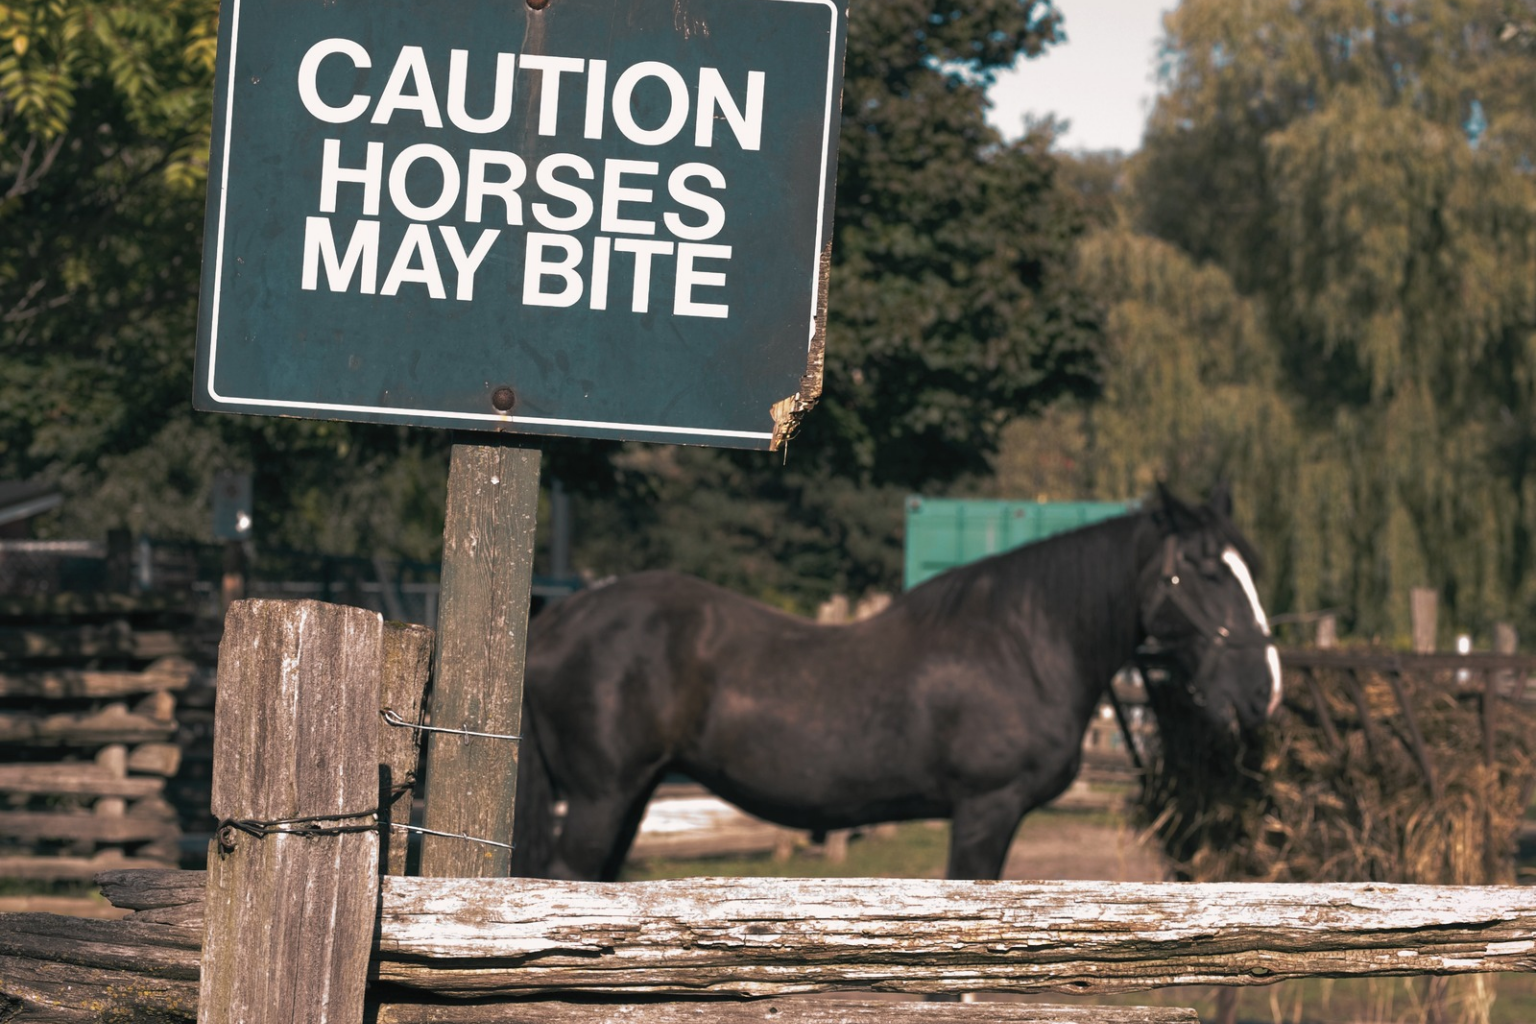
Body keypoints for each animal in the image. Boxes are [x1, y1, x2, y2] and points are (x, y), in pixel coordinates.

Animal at [509, 485, 1282, 881]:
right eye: (1207, 571)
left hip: (632, 796)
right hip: (599, 799)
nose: (1263, 691)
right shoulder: (986, 809)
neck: (1024, 643)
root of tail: (558, 620)